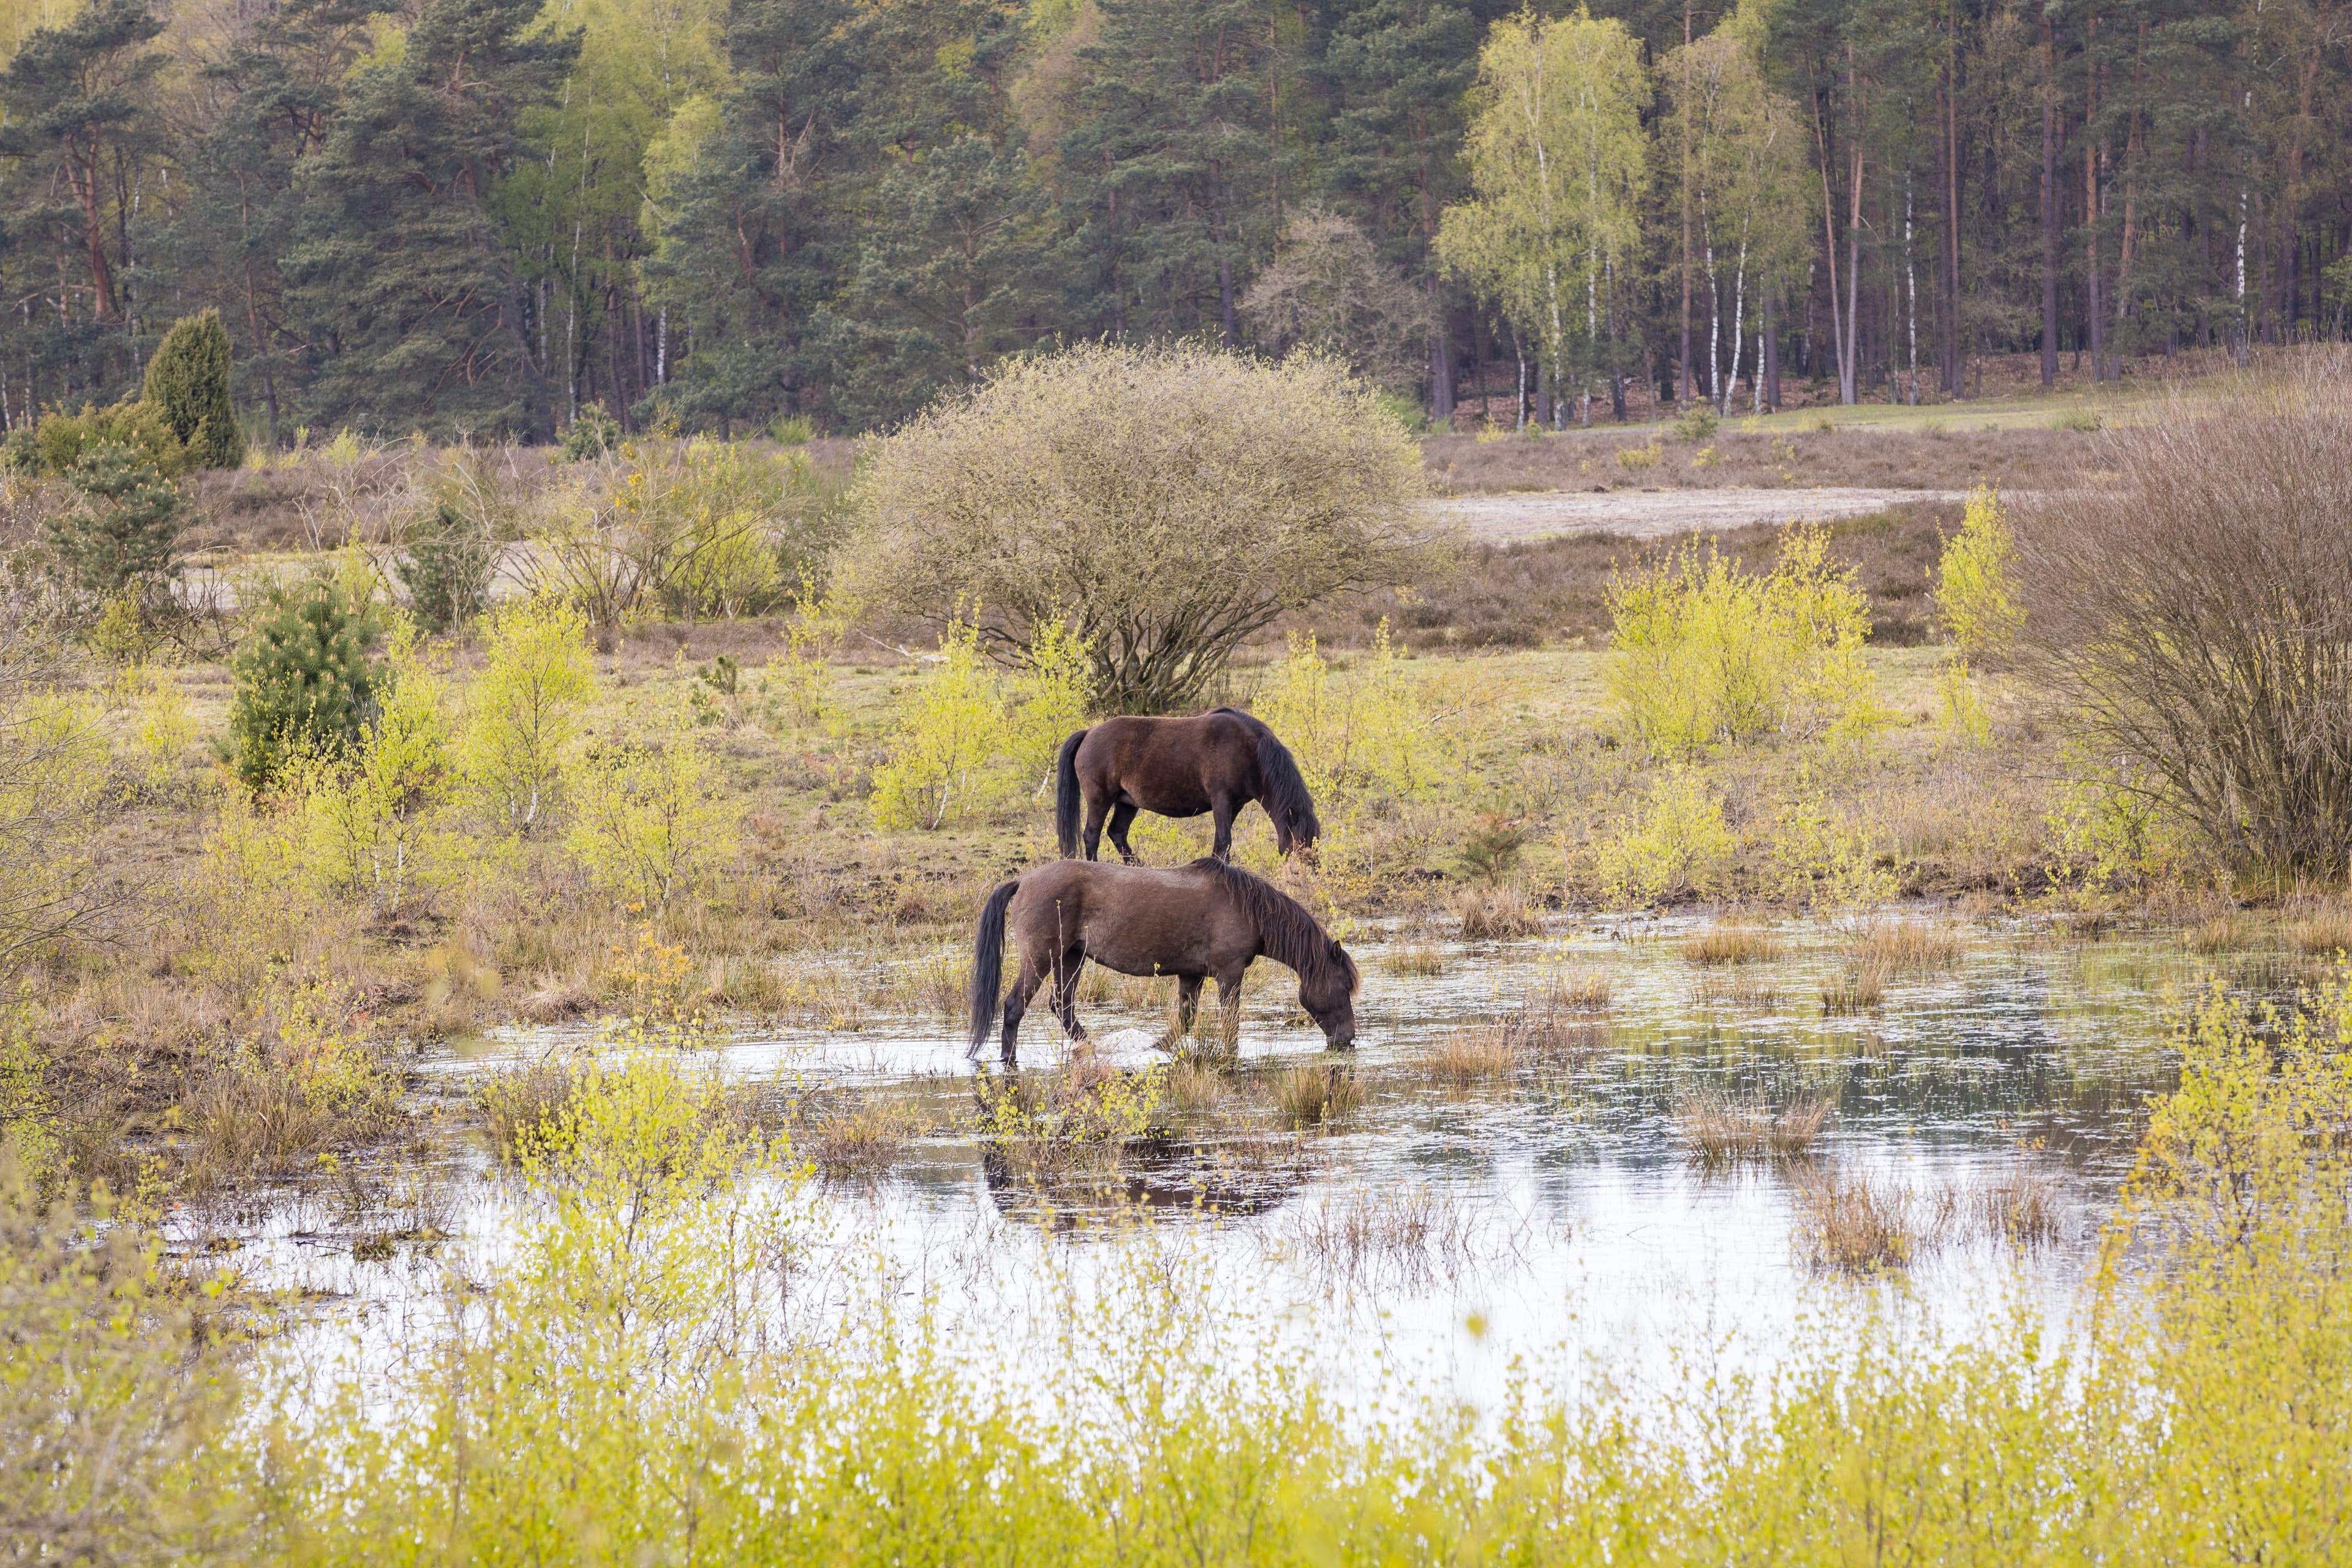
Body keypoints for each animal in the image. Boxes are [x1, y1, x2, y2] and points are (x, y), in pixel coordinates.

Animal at [959, 860, 1364, 1067]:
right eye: (1344, 985)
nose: (1348, 1038)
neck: (1248, 908)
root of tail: (1024, 880)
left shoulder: (1192, 974)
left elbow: (1183, 1020)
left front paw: (1154, 1049)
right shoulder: (1229, 974)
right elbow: (1229, 1024)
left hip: (1071, 958)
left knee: (1063, 1006)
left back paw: (1095, 1048)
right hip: (1042, 957)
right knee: (1015, 1006)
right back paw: (1009, 1060)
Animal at [1054, 710, 1326, 865]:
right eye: (1300, 843)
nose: (1312, 874)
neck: (1249, 750)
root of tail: (1089, 733)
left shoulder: (1234, 805)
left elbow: (1220, 843)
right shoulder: (1221, 800)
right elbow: (1224, 841)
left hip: (1127, 802)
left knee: (1117, 833)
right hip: (1099, 799)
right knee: (1092, 837)